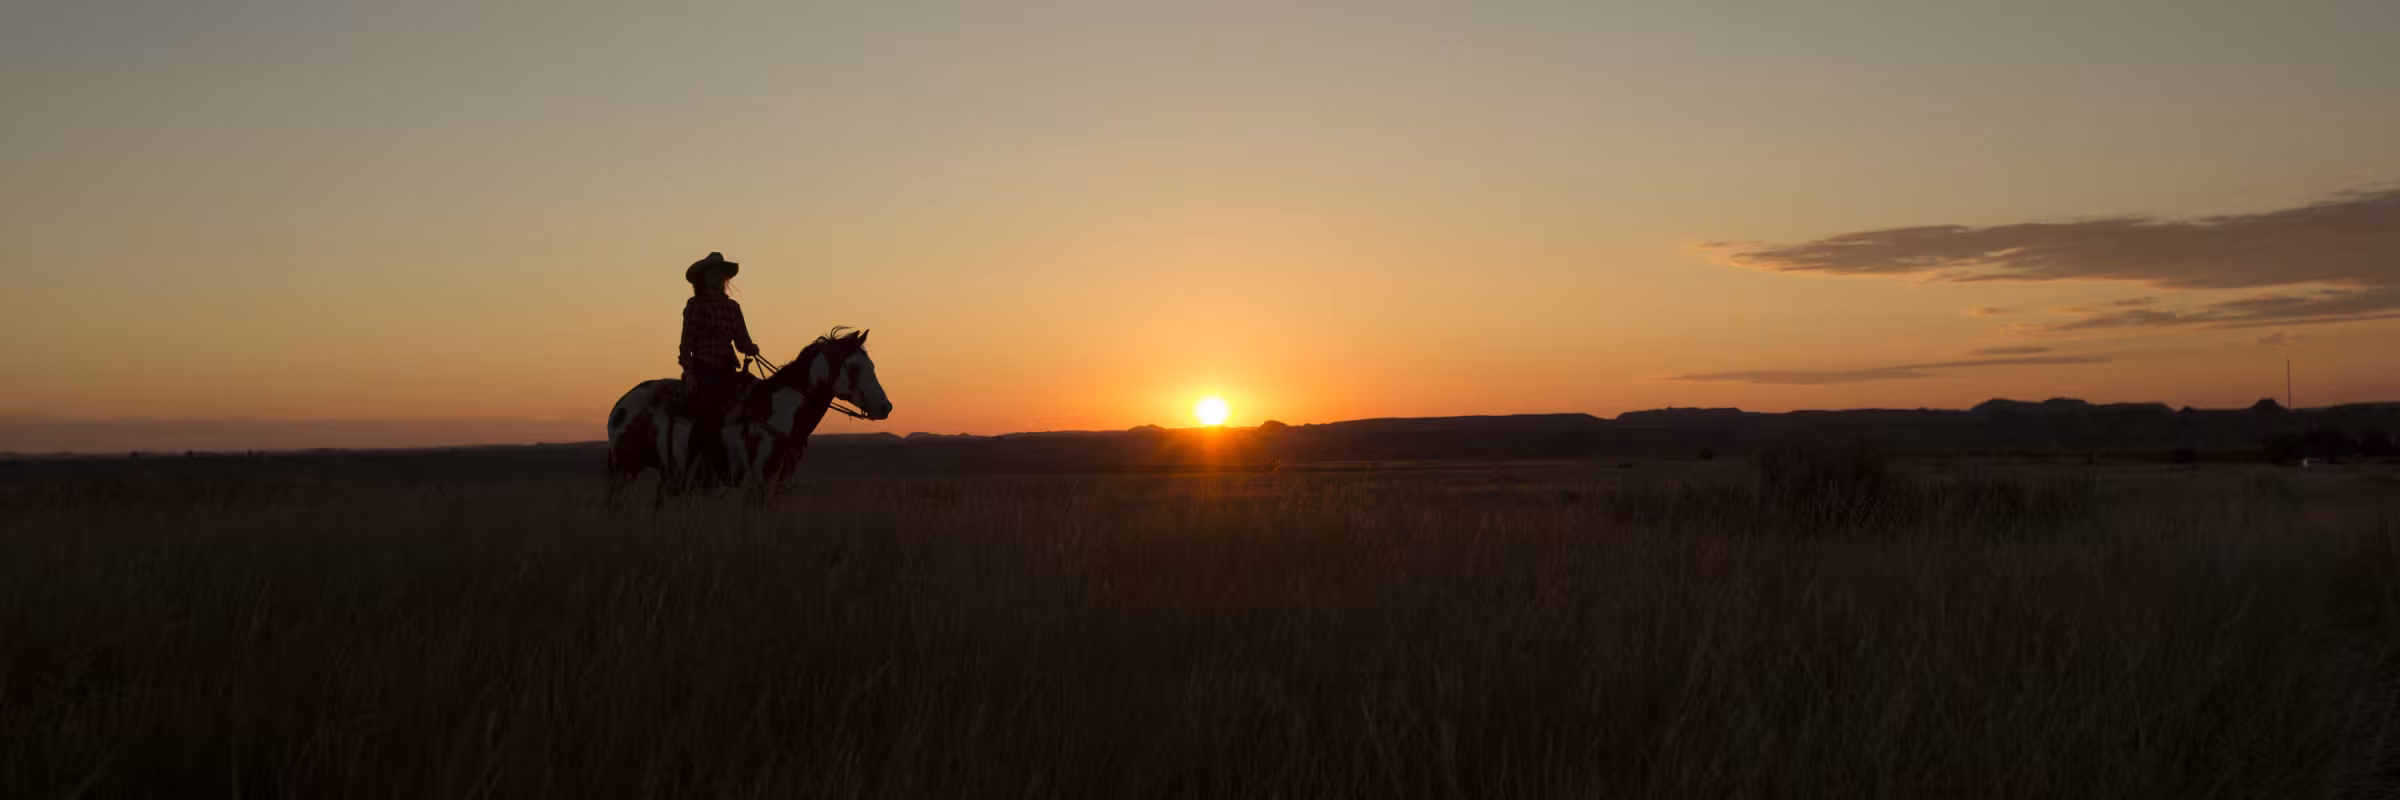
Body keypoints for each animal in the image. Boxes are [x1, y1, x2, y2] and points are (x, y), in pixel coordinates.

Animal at [605, 327, 892, 501]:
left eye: (872, 365)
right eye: (856, 367)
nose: (885, 407)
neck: (779, 412)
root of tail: (620, 405)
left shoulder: (781, 480)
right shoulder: (759, 480)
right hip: (626, 471)